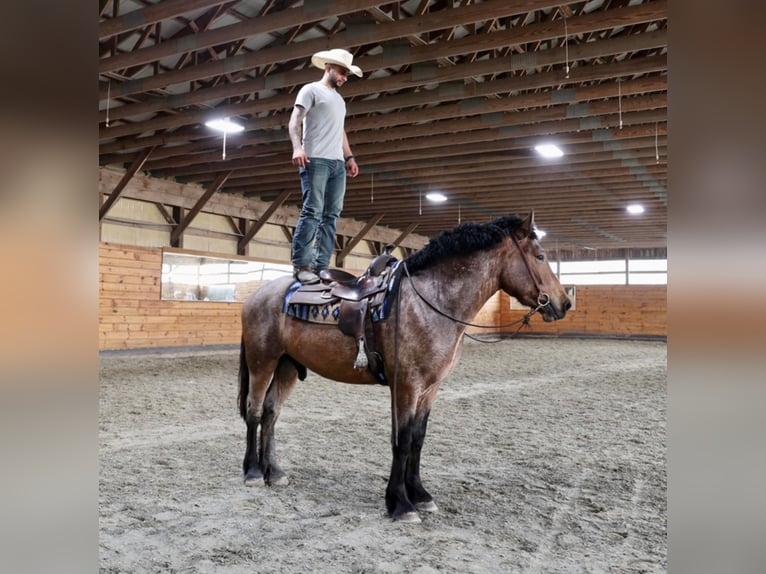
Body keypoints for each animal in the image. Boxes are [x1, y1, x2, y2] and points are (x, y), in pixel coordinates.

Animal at [237, 213, 572, 528]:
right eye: (540, 256)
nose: (564, 303)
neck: (430, 302)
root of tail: (257, 295)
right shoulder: (407, 385)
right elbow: (402, 439)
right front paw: (400, 503)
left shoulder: (430, 388)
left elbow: (418, 439)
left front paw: (420, 494)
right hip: (262, 362)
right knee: (255, 411)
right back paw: (253, 471)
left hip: (287, 367)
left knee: (271, 413)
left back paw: (274, 472)